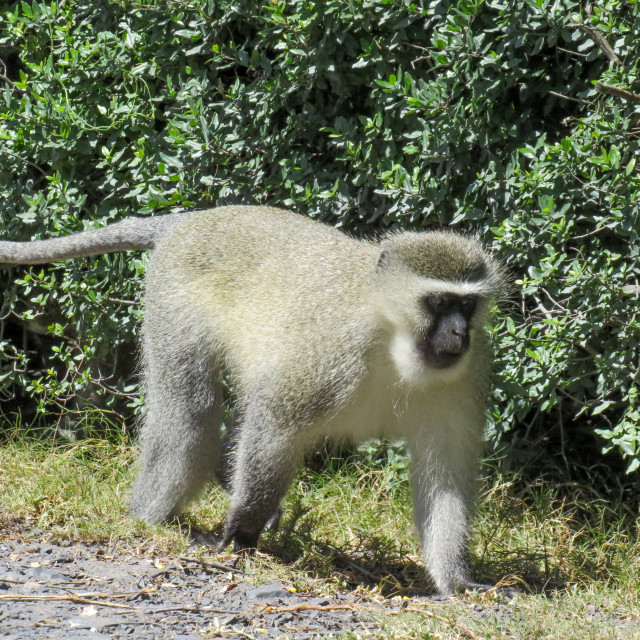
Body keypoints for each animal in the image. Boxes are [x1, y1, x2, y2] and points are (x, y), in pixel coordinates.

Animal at [0, 206, 504, 596]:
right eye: (438, 303)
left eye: (467, 307)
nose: (458, 334)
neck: (394, 342)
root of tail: (195, 218)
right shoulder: (328, 355)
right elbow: (275, 426)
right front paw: (242, 532)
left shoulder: (467, 374)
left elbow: (444, 475)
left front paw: (456, 580)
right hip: (171, 301)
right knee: (190, 415)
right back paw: (146, 518)